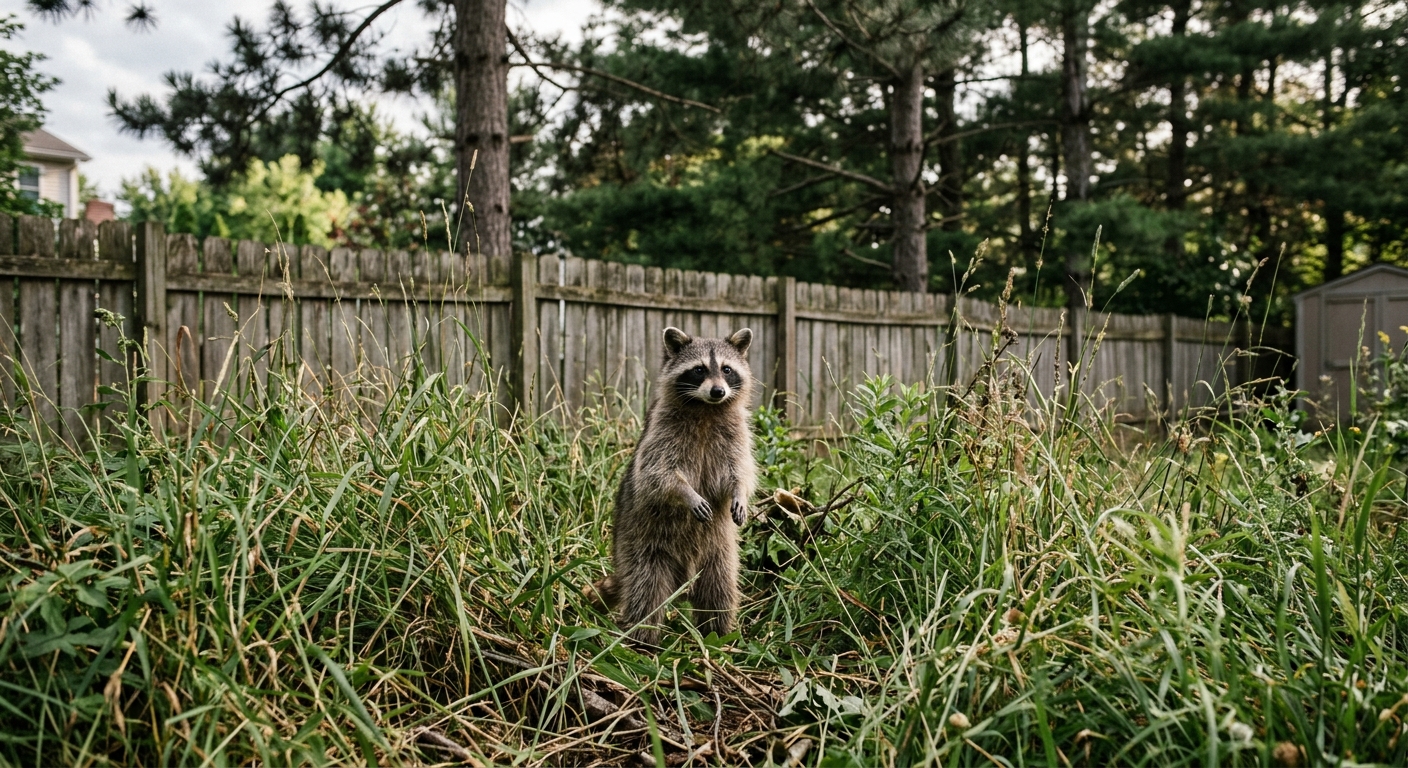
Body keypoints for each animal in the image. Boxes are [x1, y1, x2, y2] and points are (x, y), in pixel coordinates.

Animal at [590, 326, 758, 646]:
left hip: (720, 549)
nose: (718, 392)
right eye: (699, 370)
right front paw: (686, 494)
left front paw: (740, 494)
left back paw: (719, 635)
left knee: (720, 588)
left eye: (727, 370)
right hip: (641, 544)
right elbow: (658, 475)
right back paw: (642, 638)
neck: (706, 409)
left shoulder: (735, 435)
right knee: (646, 590)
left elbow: (739, 471)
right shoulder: (661, 432)